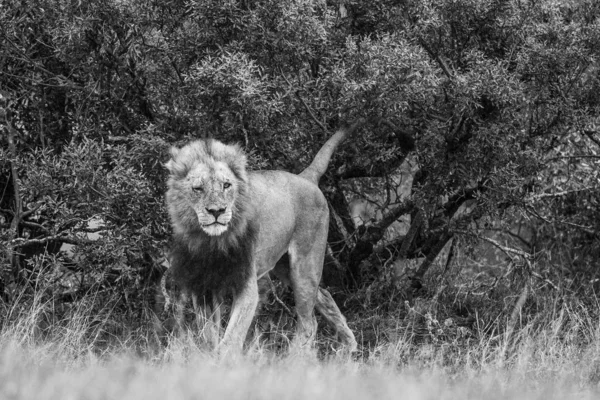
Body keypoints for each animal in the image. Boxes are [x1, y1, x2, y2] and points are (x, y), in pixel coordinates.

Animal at [164, 123, 360, 352]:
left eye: (226, 185)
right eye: (198, 188)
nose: (217, 211)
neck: (212, 242)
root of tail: (305, 176)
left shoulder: (247, 287)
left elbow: (230, 340)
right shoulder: (204, 287)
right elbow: (208, 337)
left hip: (305, 265)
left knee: (308, 323)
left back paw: (295, 356)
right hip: (284, 267)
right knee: (324, 297)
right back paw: (349, 347)